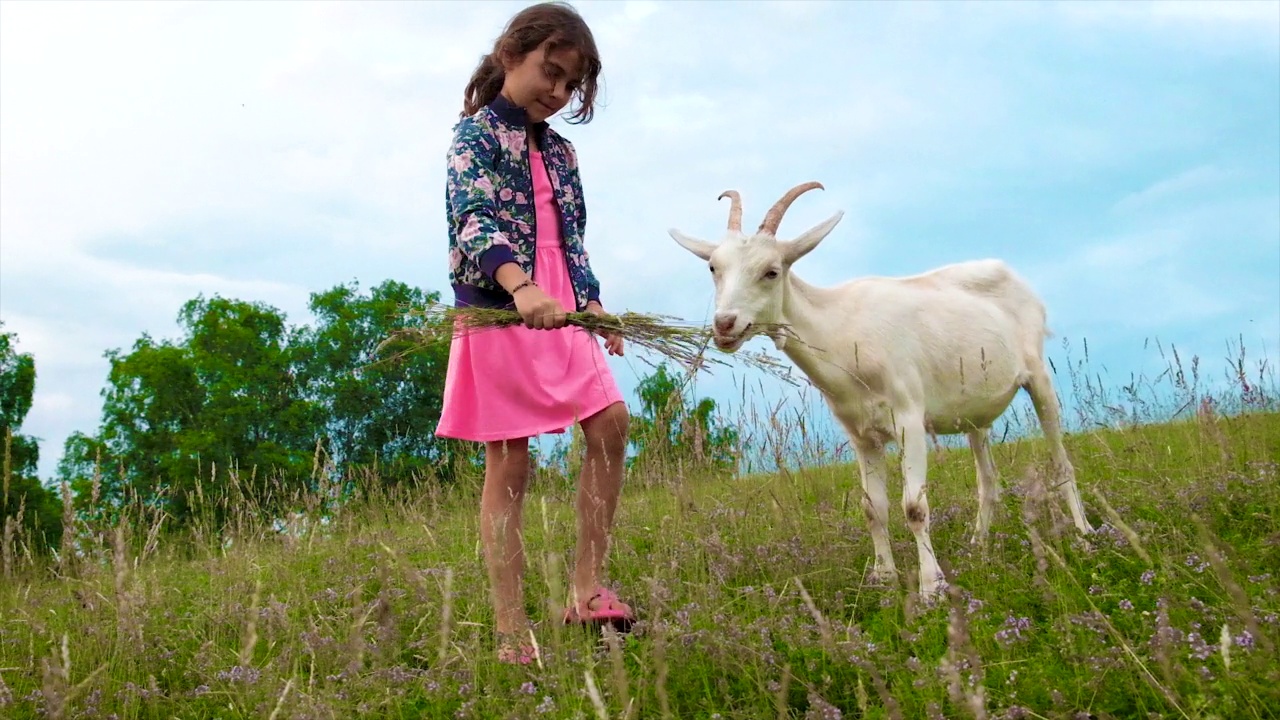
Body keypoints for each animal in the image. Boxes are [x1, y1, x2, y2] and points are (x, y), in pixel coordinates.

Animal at [665, 180, 1095, 594]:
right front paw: (883, 577)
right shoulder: (861, 434)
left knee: (1061, 462)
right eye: (713, 267)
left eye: (771, 271)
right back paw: (978, 547)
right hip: (975, 414)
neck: (843, 331)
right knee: (987, 481)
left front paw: (931, 586)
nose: (725, 324)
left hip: (1039, 378)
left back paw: (1085, 535)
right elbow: (873, 507)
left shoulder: (909, 419)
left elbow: (914, 507)